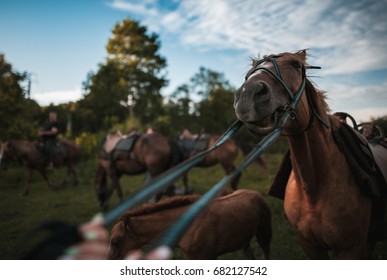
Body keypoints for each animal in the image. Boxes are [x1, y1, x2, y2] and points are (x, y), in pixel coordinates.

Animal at [107, 189, 272, 260]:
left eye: (115, 241)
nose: (109, 259)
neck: (188, 225)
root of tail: (256, 194)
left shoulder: (205, 257)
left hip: (264, 235)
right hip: (244, 243)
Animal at [233, 49, 387, 260]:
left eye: (296, 65)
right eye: (252, 68)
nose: (248, 94)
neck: (313, 191)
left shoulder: (350, 248)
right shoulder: (311, 246)